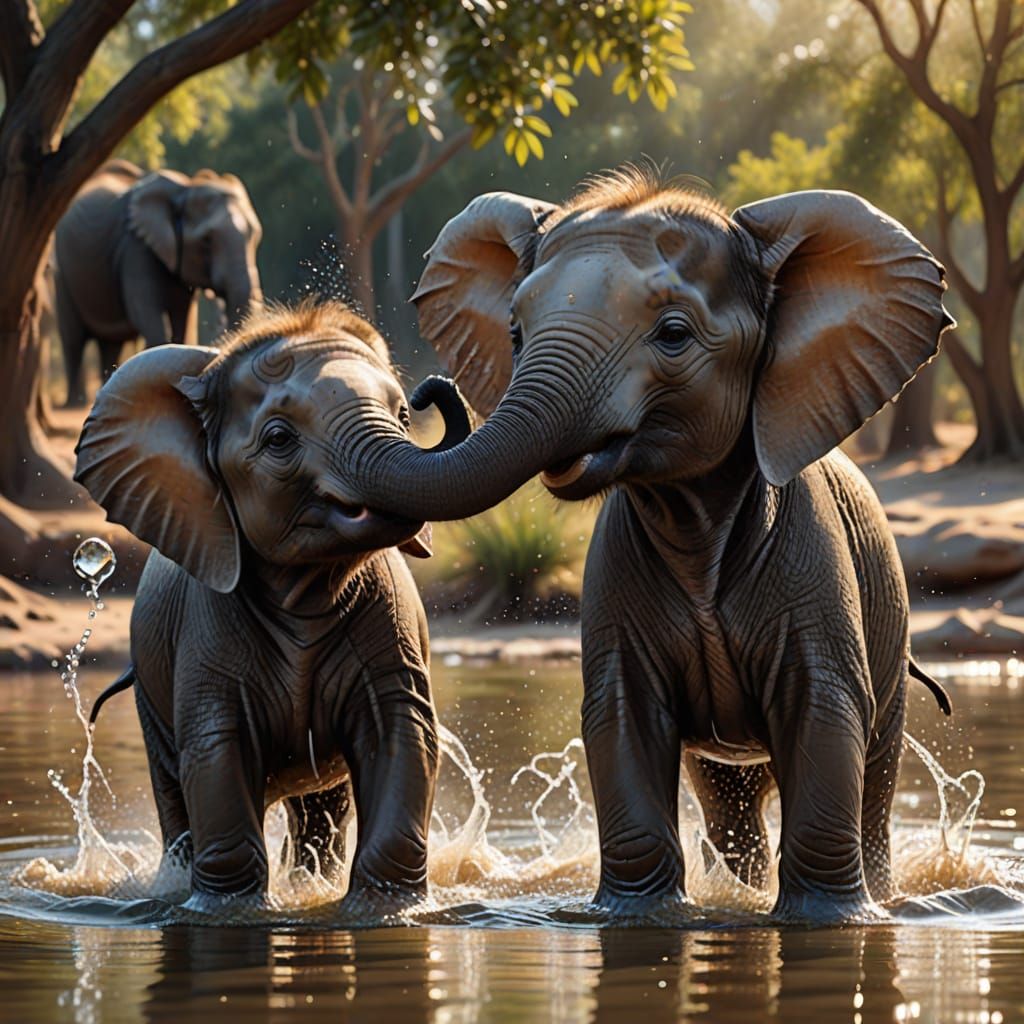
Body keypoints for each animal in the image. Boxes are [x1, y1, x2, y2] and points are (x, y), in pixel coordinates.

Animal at [54, 159, 263, 406]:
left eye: (256, 236)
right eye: (206, 240)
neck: (186, 188)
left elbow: (182, 316)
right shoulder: (135, 247)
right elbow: (145, 313)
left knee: (112, 344)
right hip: (62, 270)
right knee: (73, 339)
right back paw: (76, 402)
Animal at [74, 300, 471, 913]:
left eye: (404, 415)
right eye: (280, 438)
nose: (433, 388)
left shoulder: (391, 626)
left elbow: (403, 736)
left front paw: (382, 911)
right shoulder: (204, 629)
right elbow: (216, 752)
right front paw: (229, 912)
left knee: (322, 813)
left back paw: (312, 883)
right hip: (149, 693)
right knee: (176, 795)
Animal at [332, 168, 955, 923]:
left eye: (674, 334)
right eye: (515, 332)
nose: (425, 394)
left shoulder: (813, 564)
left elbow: (824, 712)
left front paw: (825, 922)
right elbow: (621, 717)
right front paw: (639, 917)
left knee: (874, 778)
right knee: (730, 802)